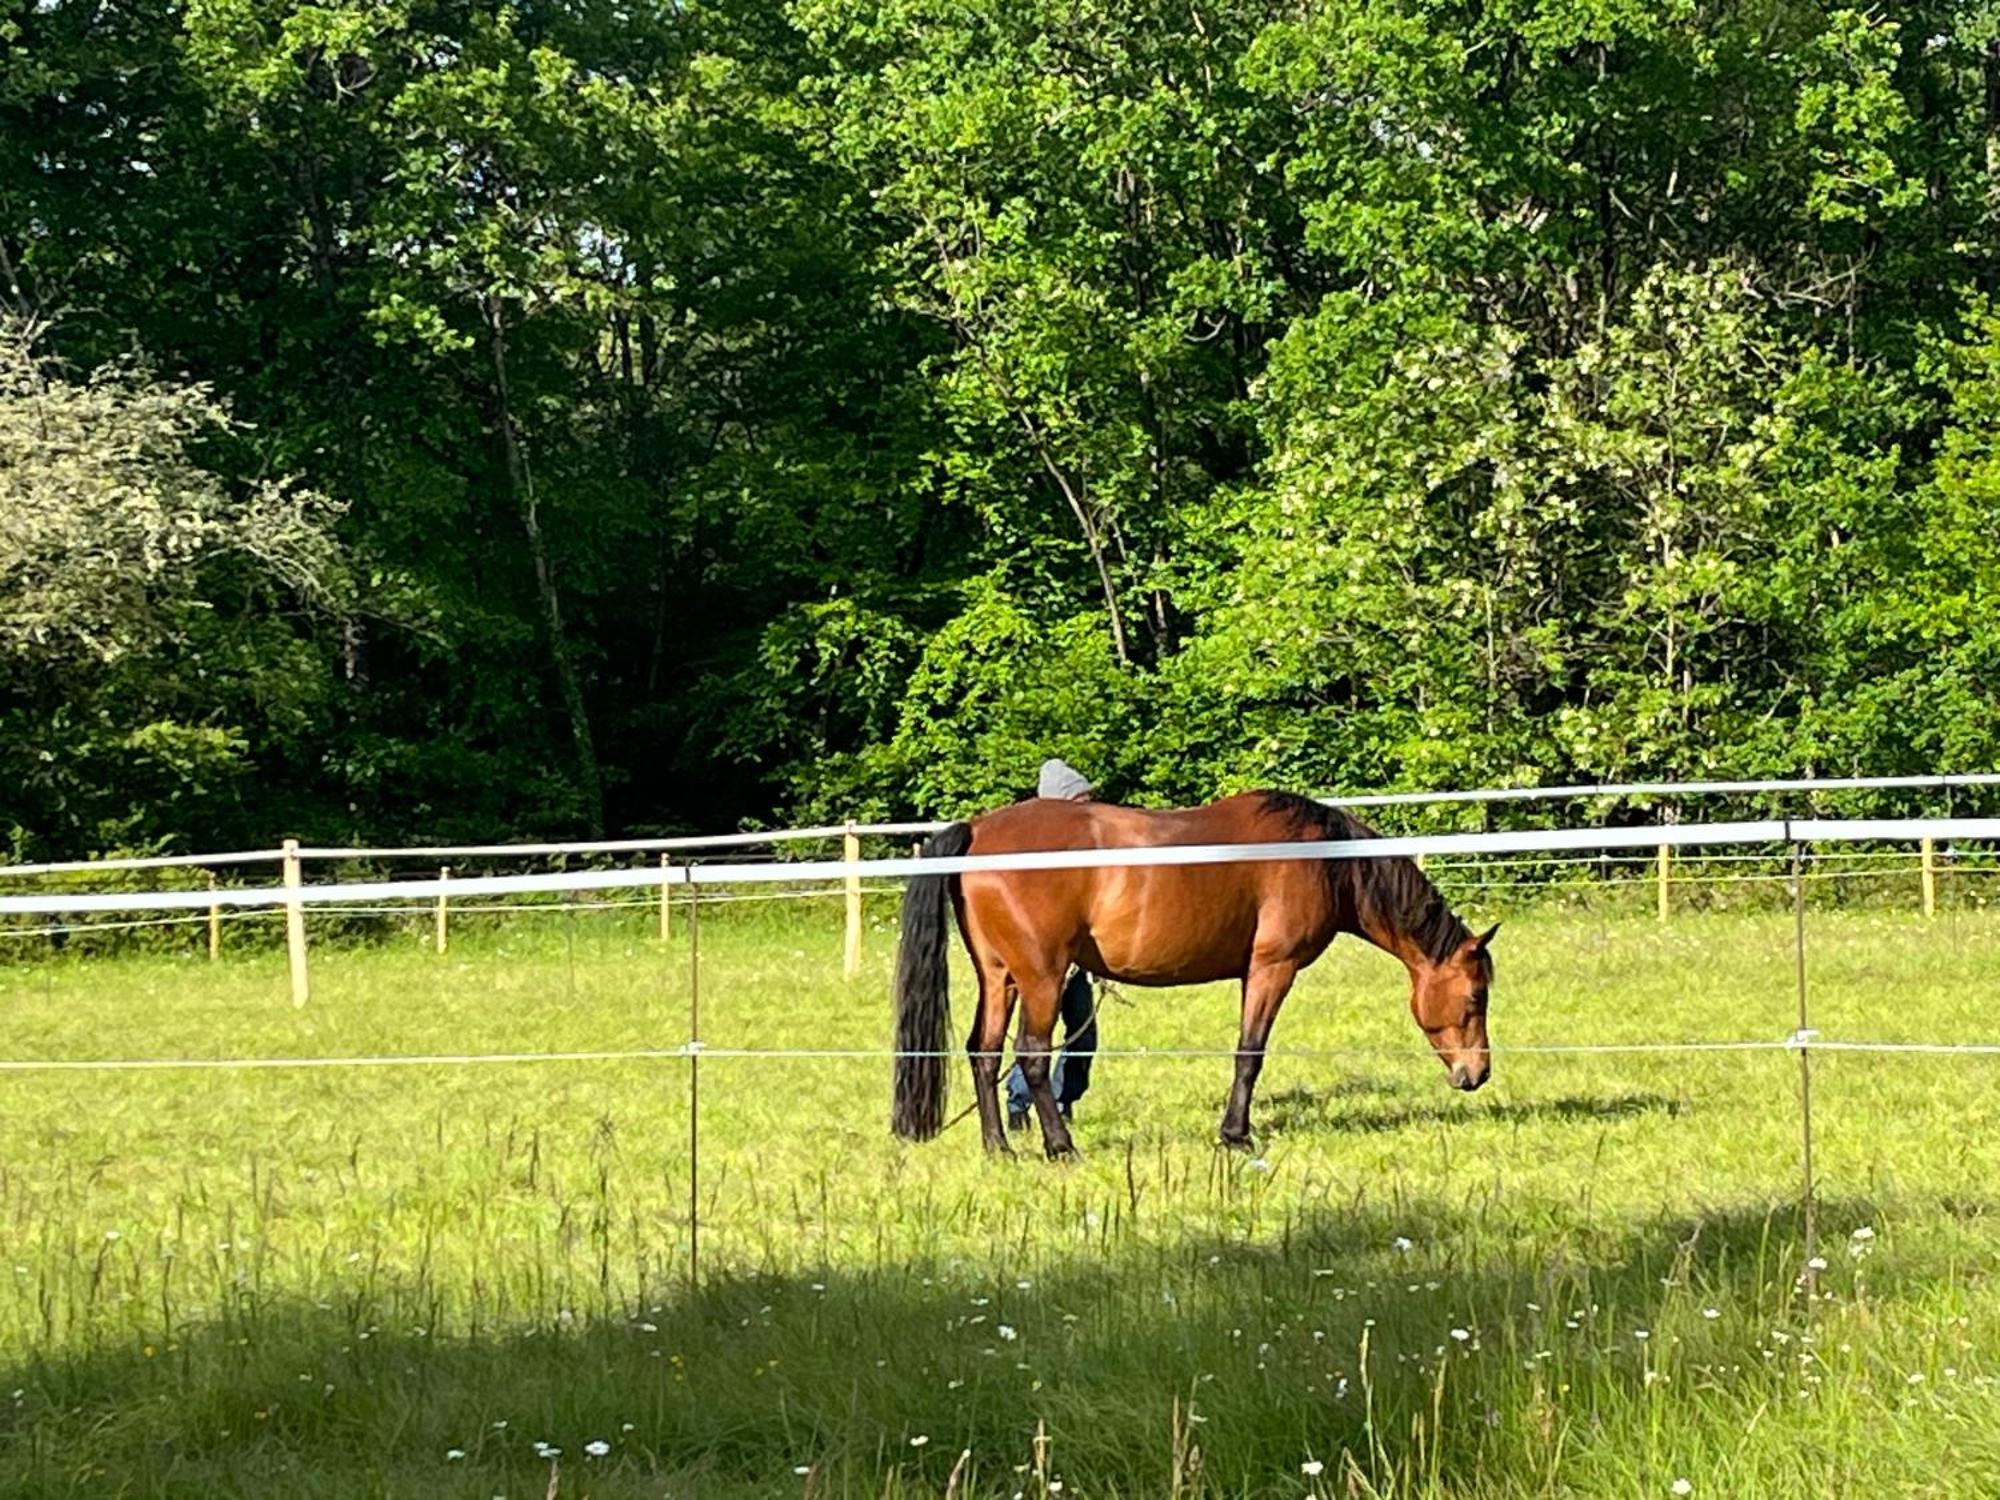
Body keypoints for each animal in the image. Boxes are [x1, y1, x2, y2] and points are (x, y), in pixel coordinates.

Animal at [896, 800, 1504, 1160]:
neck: (1323, 858)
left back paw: (998, 1148)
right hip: (1042, 978)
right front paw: (1236, 1136)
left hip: (1000, 977)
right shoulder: (1272, 969)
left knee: (984, 1052)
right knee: (1032, 1056)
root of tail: (980, 830)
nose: (1477, 1074)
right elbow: (1249, 1054)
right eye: (1475, 997)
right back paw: (1061, 1146)